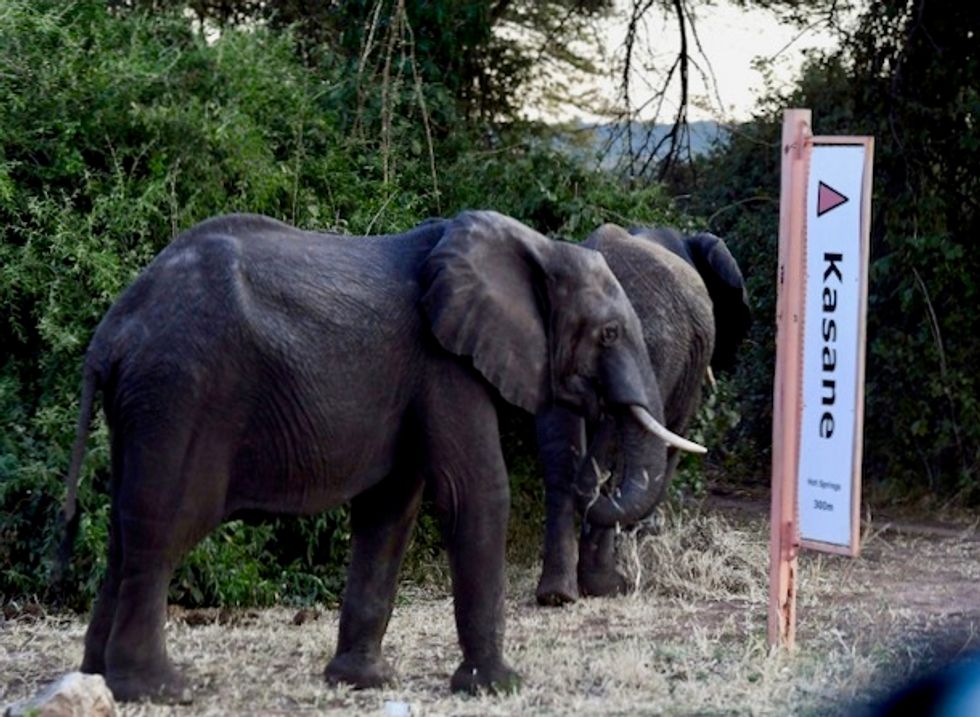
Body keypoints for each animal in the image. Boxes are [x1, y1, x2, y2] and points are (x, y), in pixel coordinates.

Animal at [59, 210, 706, 702]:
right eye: (608, 334)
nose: (595, 488)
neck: (538, 246)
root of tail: (111, 332)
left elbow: (391, 509)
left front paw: (362, 682)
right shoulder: (443, 364)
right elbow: (474, 492)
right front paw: (499, 687)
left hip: (146, 405)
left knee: (123, 529)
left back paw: (96, 680)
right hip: (180, 392)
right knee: (163, 529)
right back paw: (159, 691)